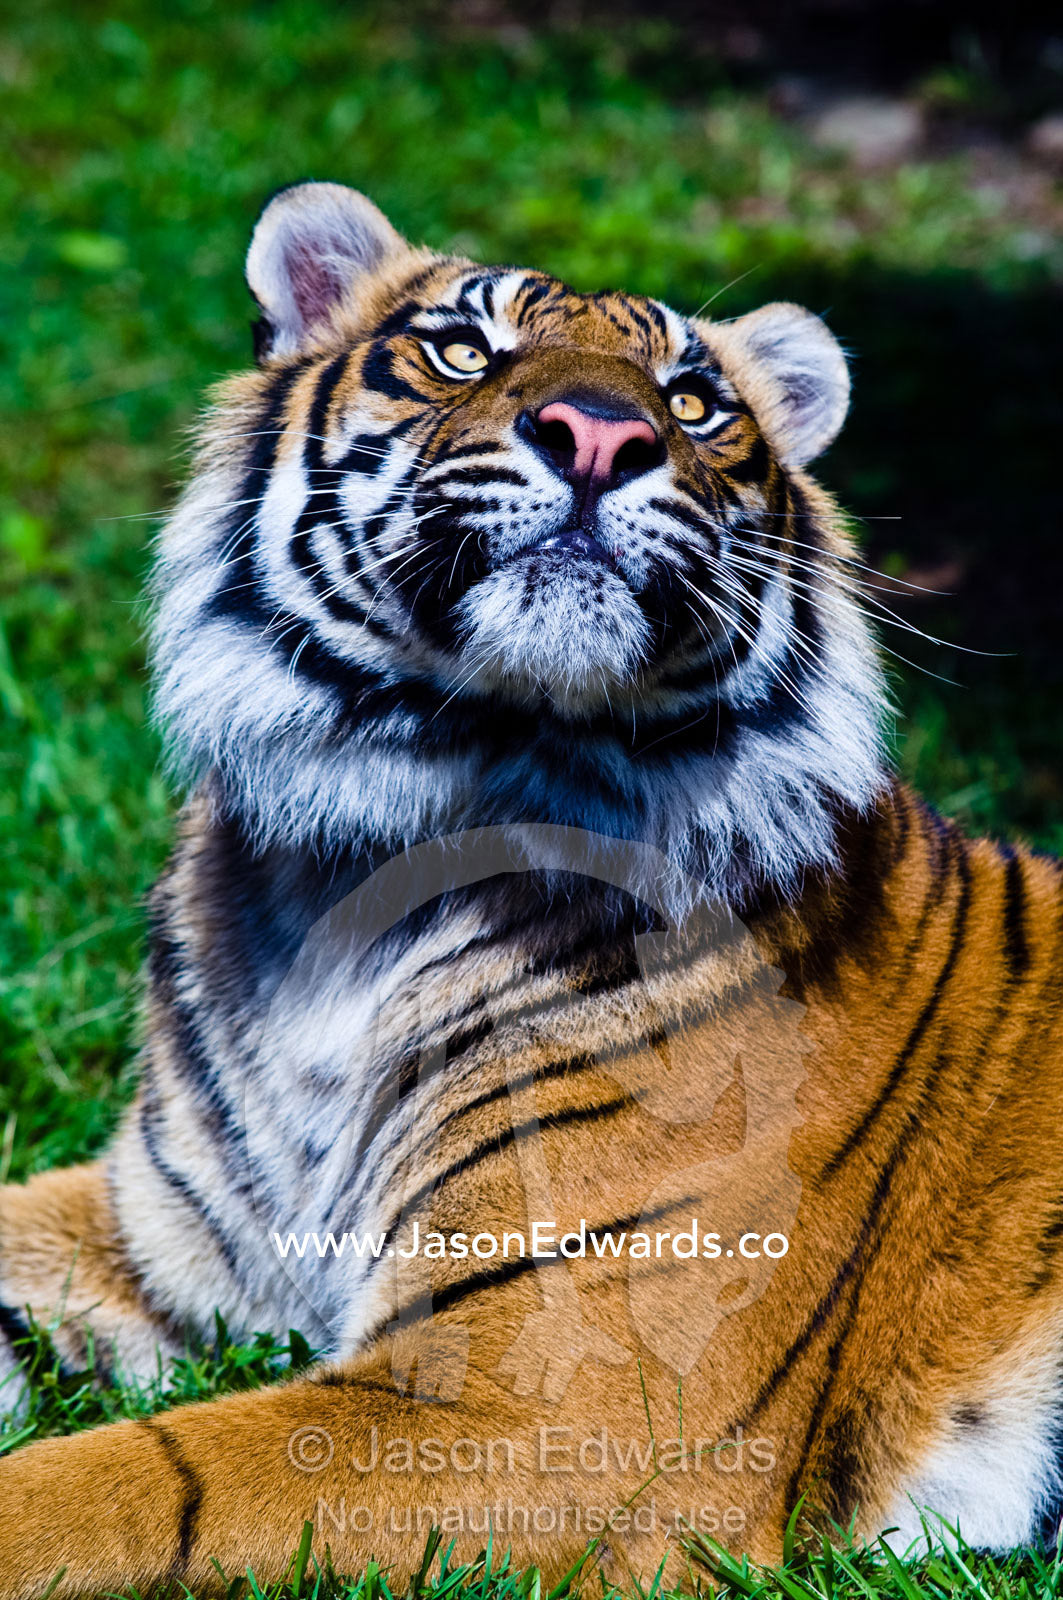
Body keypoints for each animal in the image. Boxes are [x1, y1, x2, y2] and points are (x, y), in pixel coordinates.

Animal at [2, 180, 1062, 1600]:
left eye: (692, 400)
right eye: (463, 348)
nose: (603, 434)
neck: (378, 864)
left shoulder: (560, 1407)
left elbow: (119, 1484)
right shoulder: (168, 1233)